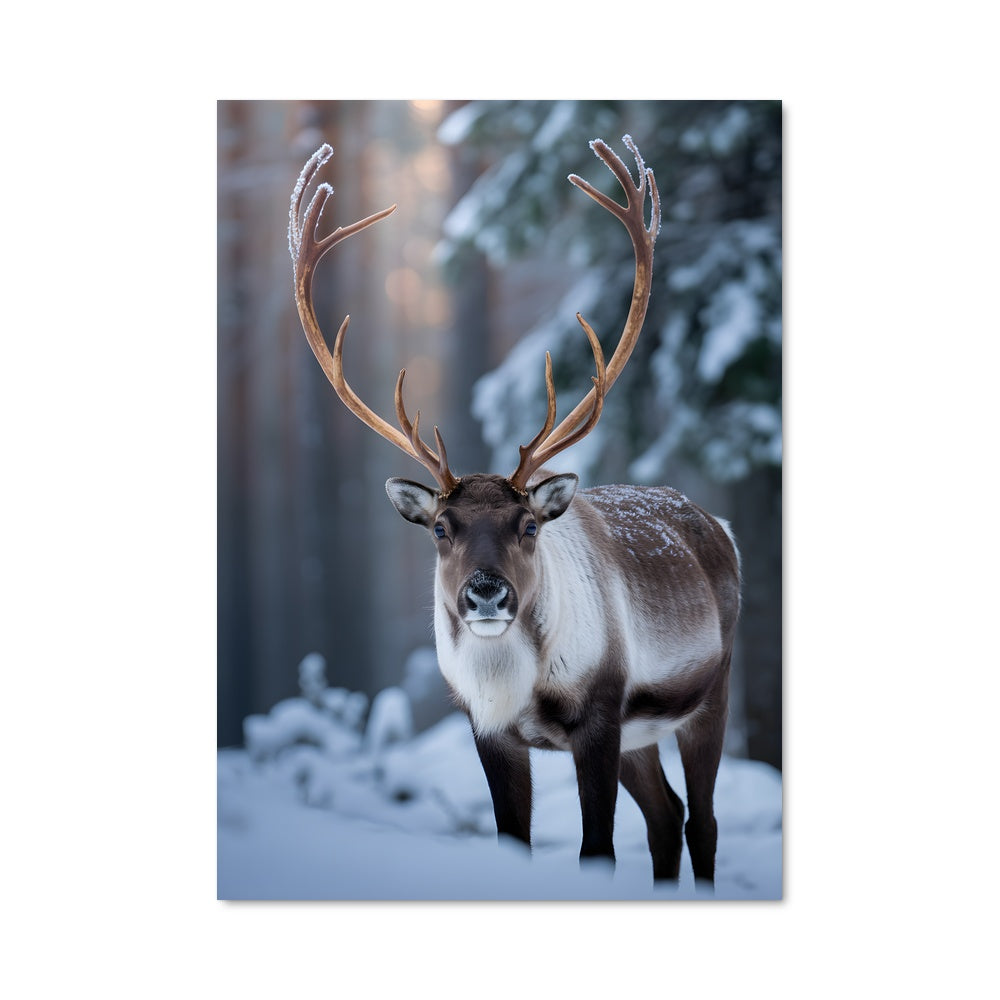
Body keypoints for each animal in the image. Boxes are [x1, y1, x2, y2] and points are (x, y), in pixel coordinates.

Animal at [287, 135, 741, 886]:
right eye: (441, 528)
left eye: (528, 525)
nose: (486, 593)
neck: (519, 689)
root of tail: (719, 525)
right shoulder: (490, 732)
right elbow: (513, 842)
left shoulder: (599, 718)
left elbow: (596, 851)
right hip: (643, 734)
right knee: (666, 815)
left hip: (710, 691)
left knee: (700, 819)